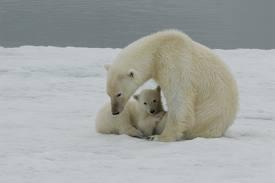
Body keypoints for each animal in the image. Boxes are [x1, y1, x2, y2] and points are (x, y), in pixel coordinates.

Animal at [104, 29, 238, 142]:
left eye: (119, 94)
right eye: (108, 94)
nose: (115, 112)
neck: (158, 48)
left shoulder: (174, 62)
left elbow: (179, 101)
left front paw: (160, 137)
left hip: (205, 120)